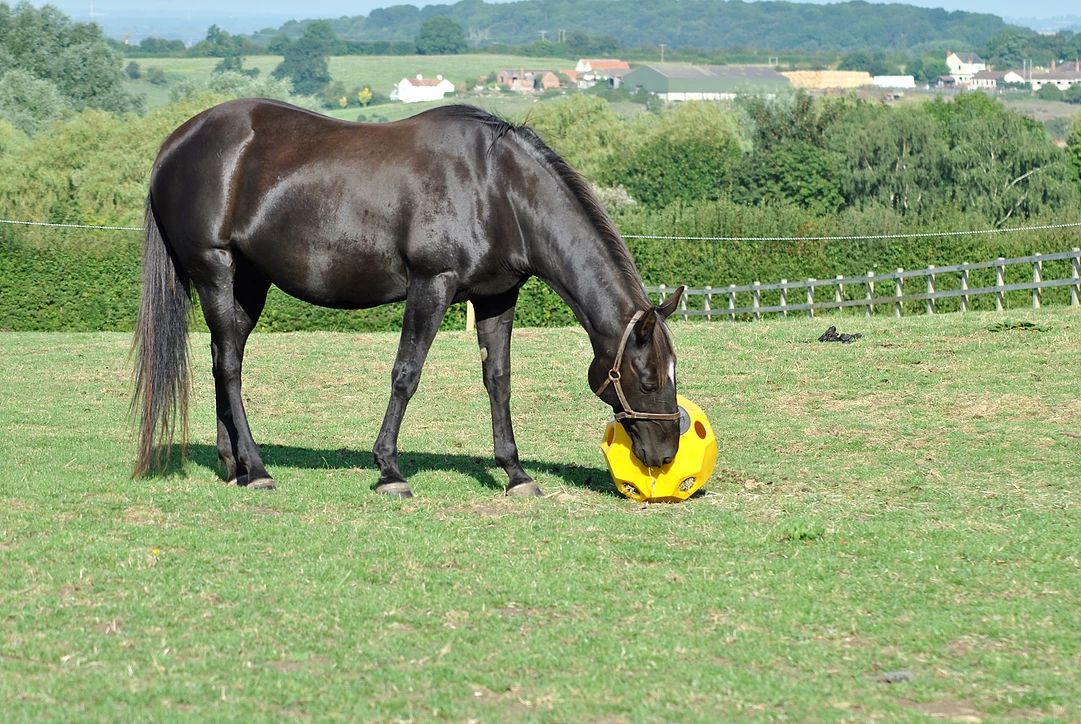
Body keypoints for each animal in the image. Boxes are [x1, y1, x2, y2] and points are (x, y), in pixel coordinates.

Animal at [132, 100, 683, 499]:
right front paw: (389, 470)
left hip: (248, 284)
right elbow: (406, 374)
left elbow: (498, 382)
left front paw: (516, 473)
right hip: (216, 271)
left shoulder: (496, 298)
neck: (496, 187)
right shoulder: (430, 284)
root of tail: (174, 144)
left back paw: (234, 467)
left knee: (223, 358)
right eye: (648, 379)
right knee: (229, 366)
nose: (665, 456)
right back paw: (259, 468)